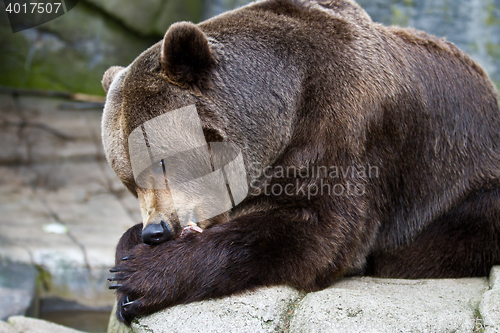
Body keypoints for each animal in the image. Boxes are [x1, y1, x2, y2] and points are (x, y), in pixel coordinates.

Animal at [101, 0, 500, 324]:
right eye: (129, 180)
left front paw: (141, 275)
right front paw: (126, 261)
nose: (156, 231)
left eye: (162, 162)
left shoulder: (341, 127)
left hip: (464, 176)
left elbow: (316, 233)